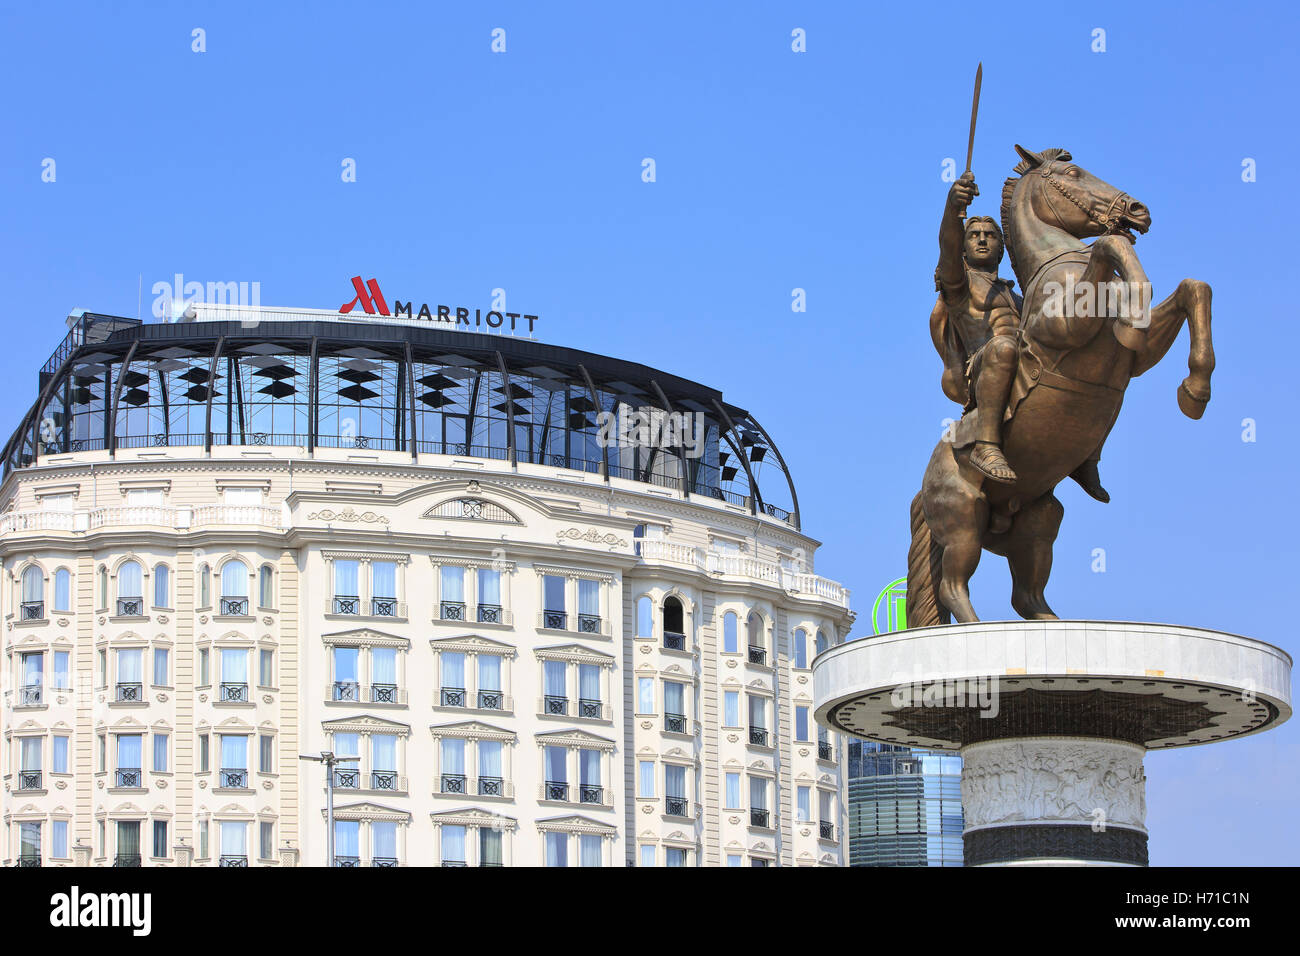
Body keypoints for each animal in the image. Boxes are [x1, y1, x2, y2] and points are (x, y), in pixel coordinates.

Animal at [909, 143, 1211, 629]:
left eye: (986, 236)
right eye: (1071, 173)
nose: (1139, 210)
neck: (1060, 268)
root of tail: (923, 487)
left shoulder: (1138, 358)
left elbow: (1194, 288)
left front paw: (1195, 391)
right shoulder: (1065, 328)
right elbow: (1110, 244)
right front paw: (1137, 295)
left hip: (1039, 521)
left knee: (1026, 595)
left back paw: (1053, 619)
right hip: (961, 519)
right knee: (954, 586)